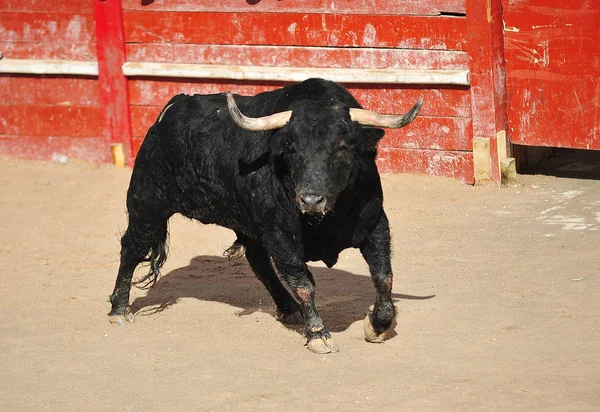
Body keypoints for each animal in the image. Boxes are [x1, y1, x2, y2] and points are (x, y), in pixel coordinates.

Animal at [109, 78, 422, 354]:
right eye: (292, 148)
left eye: (342, 146)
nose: (310, 199)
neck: (327, 219)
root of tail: (167, 112)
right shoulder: (280, 234)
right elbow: (303, 284)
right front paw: (318, 334)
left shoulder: (375, 225)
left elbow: (384, 277)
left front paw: (378, 326)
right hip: (147, 206)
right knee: (131, 249)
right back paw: (118, 310)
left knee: (258, 262)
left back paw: (288, 309)